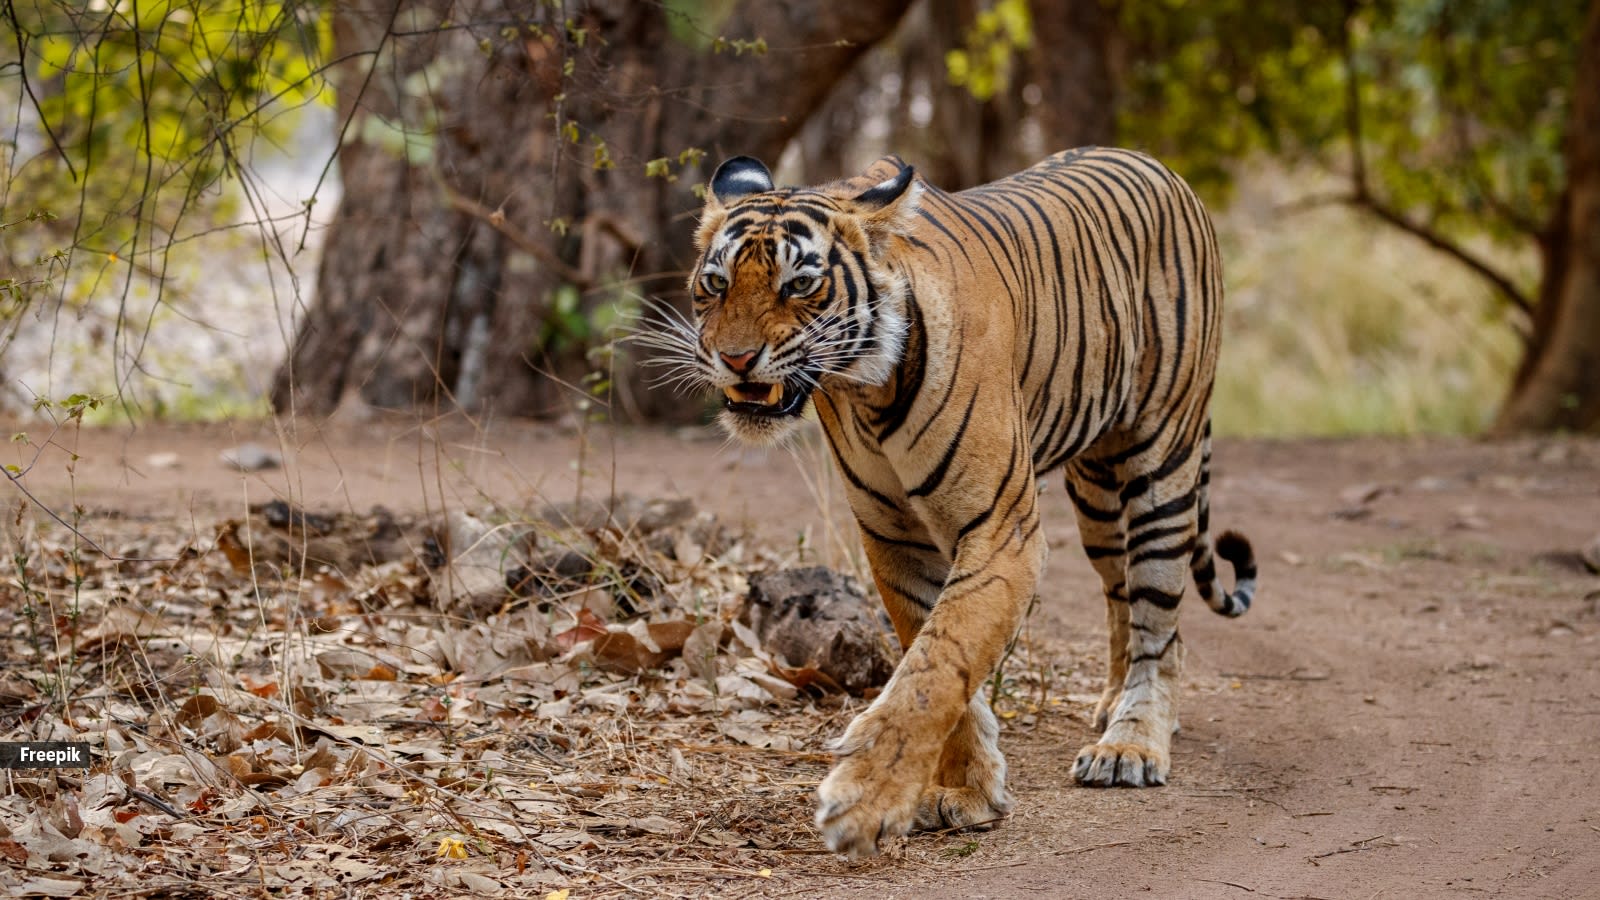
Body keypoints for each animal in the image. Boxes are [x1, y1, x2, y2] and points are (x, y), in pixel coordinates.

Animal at [643, 147, 1258, 859]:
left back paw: (1131, 744)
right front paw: (967, 789)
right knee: (1122, 596)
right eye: (715, 283)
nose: (735, 358)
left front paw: (865, 800)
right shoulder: (895, 537)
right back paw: (1111, 704)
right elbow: (932, 649)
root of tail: (1158, 165)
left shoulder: (1002, 530)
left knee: (1159, 612)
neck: (866, 391)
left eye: (798, 285)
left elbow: (939, 664)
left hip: (1161, 462)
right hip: (1098, 495)